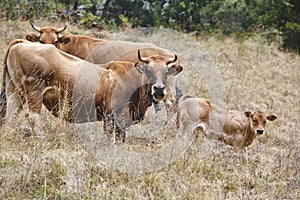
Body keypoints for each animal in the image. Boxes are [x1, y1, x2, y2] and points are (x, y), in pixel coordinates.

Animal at [0, 39, 182, 142]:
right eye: (149, 71)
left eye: (166, 72)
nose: (159, 89)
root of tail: (22, 43)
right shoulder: (111, 117)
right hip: (34, 93)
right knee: (32, 116)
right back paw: (43, 139)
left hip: (15, 93)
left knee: (10, 115)